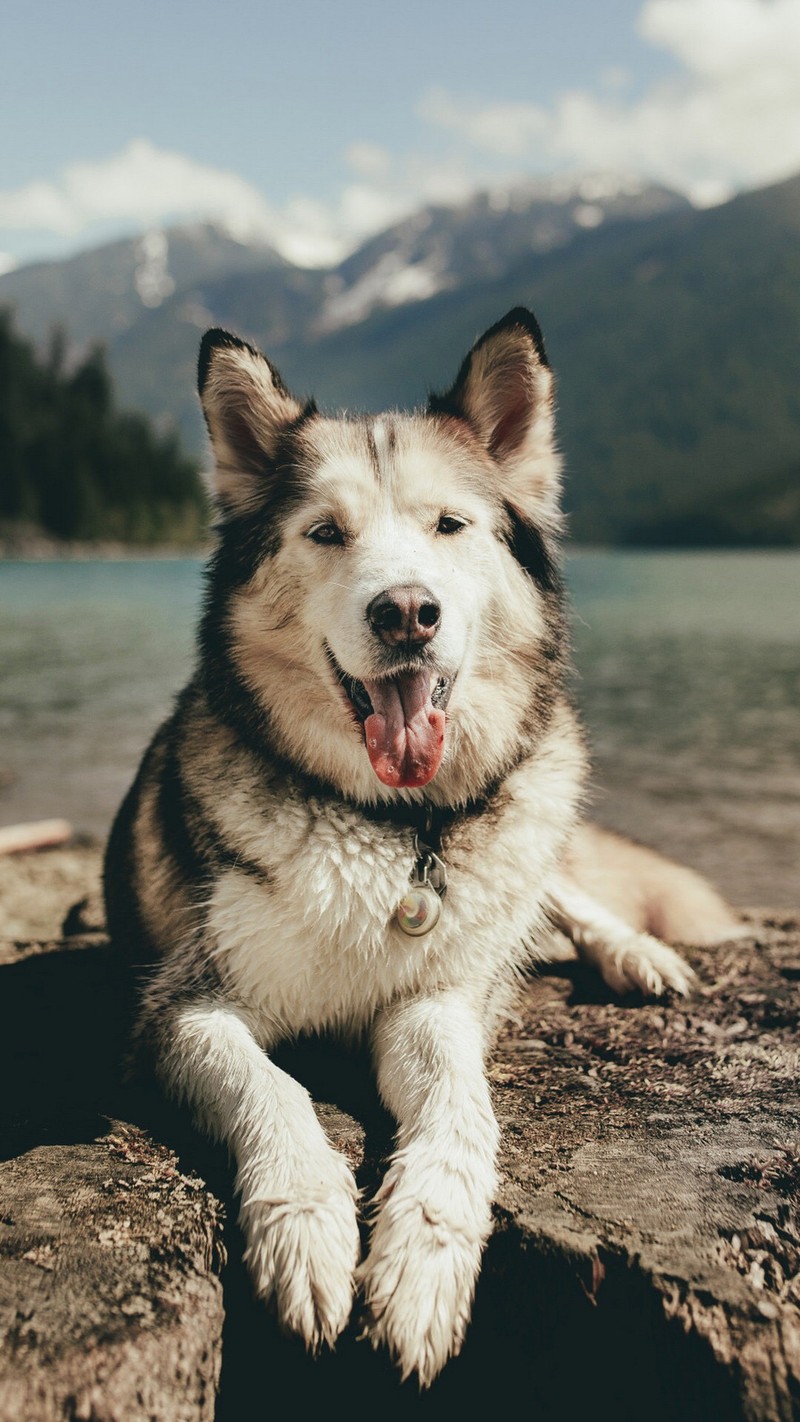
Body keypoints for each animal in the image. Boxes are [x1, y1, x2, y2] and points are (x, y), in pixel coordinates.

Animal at [103, 311, 744, 1387]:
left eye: (449, 525)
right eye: (326, 532)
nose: (405, 611)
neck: (396, 833)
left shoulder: (431, 999)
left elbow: (457, 1106)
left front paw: (423, 1262)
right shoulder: (186, 1007)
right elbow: (275, 1092)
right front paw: (306, 1229)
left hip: (532, 822)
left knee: (564, 895)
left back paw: (633, 953)